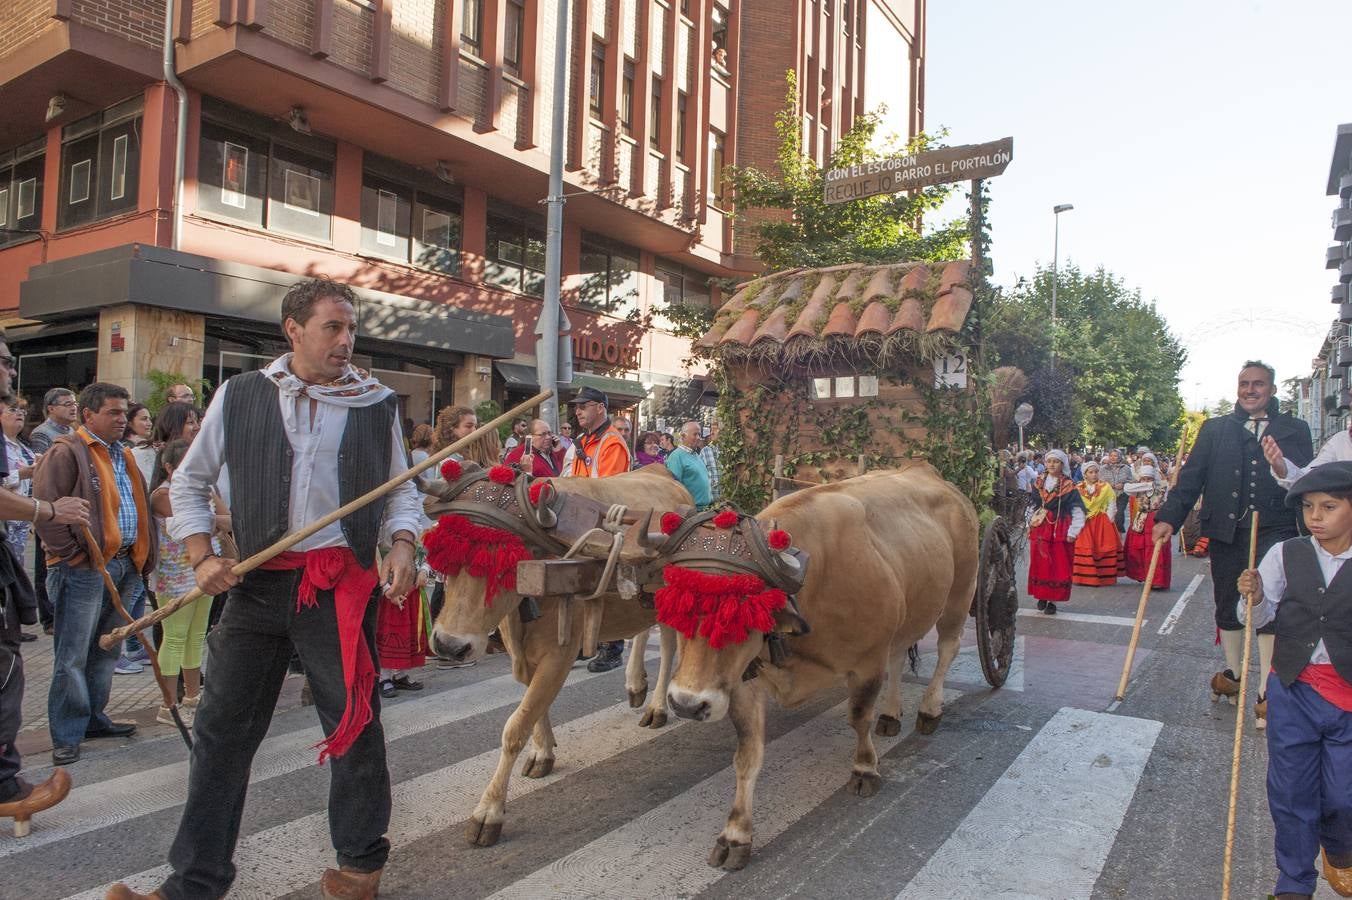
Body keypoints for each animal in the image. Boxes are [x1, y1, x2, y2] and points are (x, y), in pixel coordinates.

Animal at [427, 464, 692, 843]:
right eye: (445, 556)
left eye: (504, 565)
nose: (449, 645)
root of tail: (661, 471)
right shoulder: (520, 654)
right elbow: (534, 706)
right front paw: (543, 751)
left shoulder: (560, 655)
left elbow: (515, 726)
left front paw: (489, 810)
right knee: (645, 631)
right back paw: (635, 684)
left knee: (669, 645)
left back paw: (656, 706)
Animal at [659, 464, 978, 864]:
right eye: (677, 611)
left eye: (741, 615)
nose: (686, 704)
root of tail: (926, 470)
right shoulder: (743, 682)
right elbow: (748, 755)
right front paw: (735, 835)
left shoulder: (867, 663)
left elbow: (859, 718)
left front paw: (865, 768)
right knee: (899, 655)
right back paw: (891, 715)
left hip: (960, 594)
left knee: (948, 649)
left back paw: (930, 709)